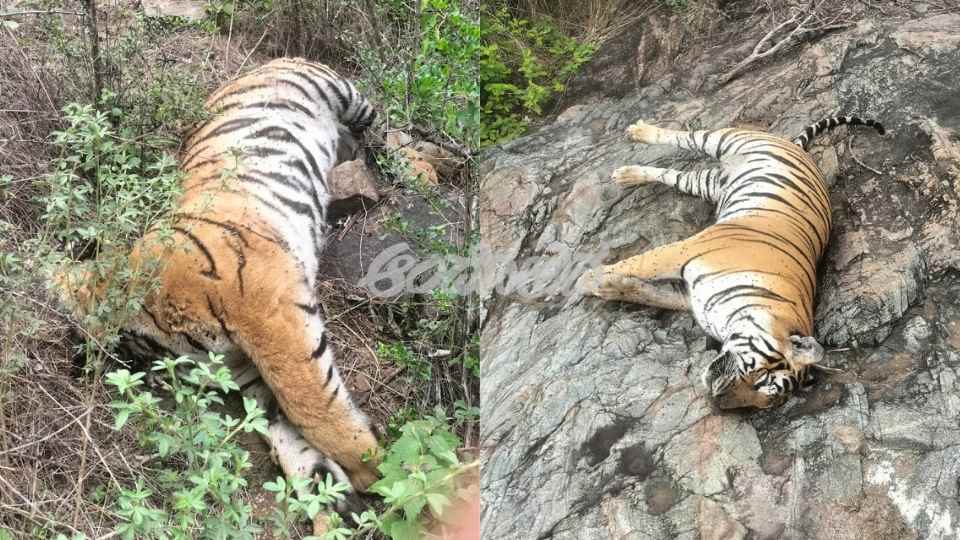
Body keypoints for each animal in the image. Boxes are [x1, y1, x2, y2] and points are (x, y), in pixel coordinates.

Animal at [55, 58, 381, 502]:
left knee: (378, 123)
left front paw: (373, 467)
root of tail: (266, 62)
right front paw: (328, 492)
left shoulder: (271, 318)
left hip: (341, 93)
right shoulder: (243, 366)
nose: (80, 364)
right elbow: (278, 422)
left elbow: (308, 401)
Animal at [576, 115, 885, 408]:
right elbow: (640, 264)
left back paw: (627, 175)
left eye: (762, 400)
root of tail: (797, 148)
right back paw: (638, 134)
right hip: (725, 139)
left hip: (706, 184)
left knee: (672, 174)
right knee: (684, 136)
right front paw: (587, 280)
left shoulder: (687, 296)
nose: (718, 399)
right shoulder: (684, 251)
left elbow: (646, 293)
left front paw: (607, 287)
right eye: (761, 378)